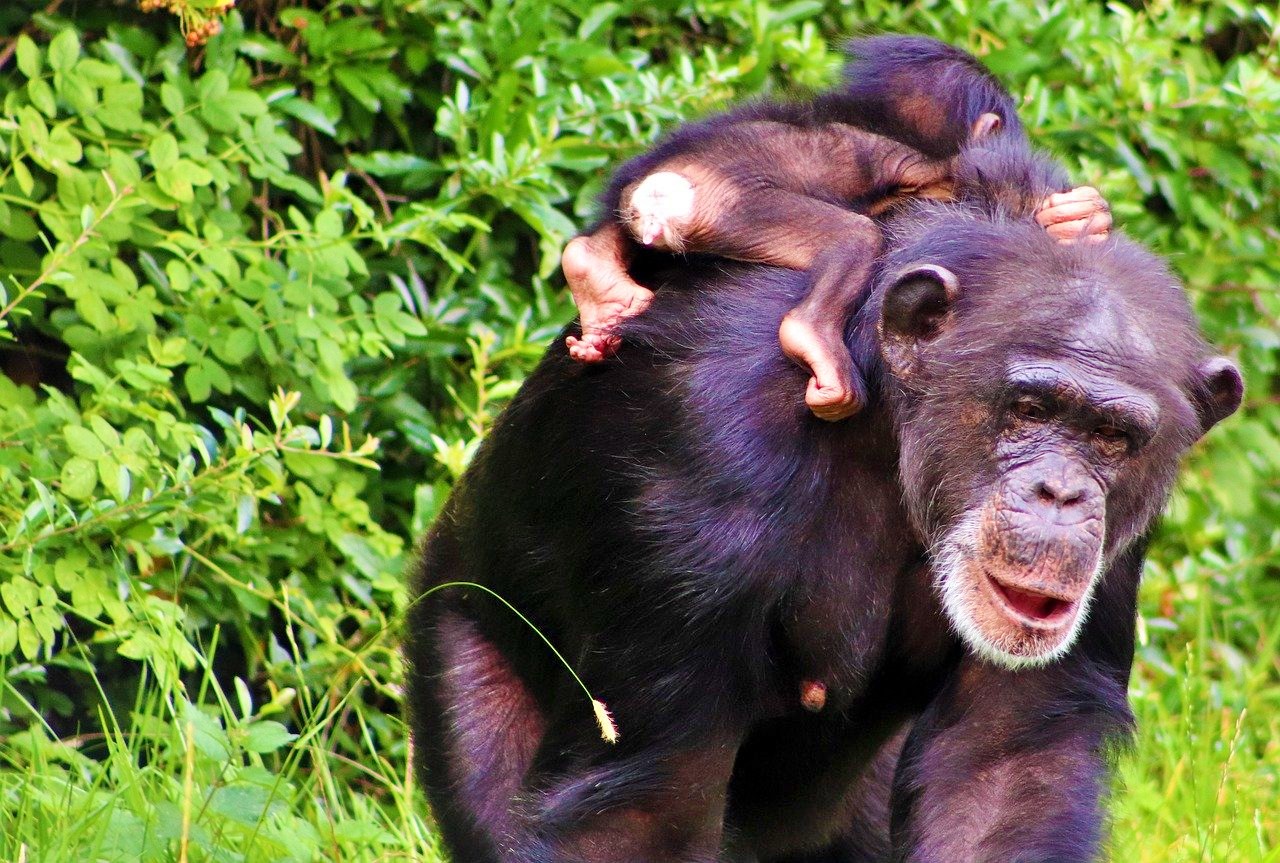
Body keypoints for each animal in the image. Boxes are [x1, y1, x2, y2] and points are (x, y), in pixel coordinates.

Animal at [404, 75, 1244, 863]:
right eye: (1031, 408)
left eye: (1111, 436)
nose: (1062, 492)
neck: (889, 435)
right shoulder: (706, 473)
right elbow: (644, 809)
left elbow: (1003, 768)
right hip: (462, 627)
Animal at [563, 35, 1111, 417]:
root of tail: (654, 194)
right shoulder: (932, 166)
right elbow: (992, 188)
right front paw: (1071, 216)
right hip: (728, 207)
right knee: (855, 238)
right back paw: (814, 341)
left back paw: (597, 283)